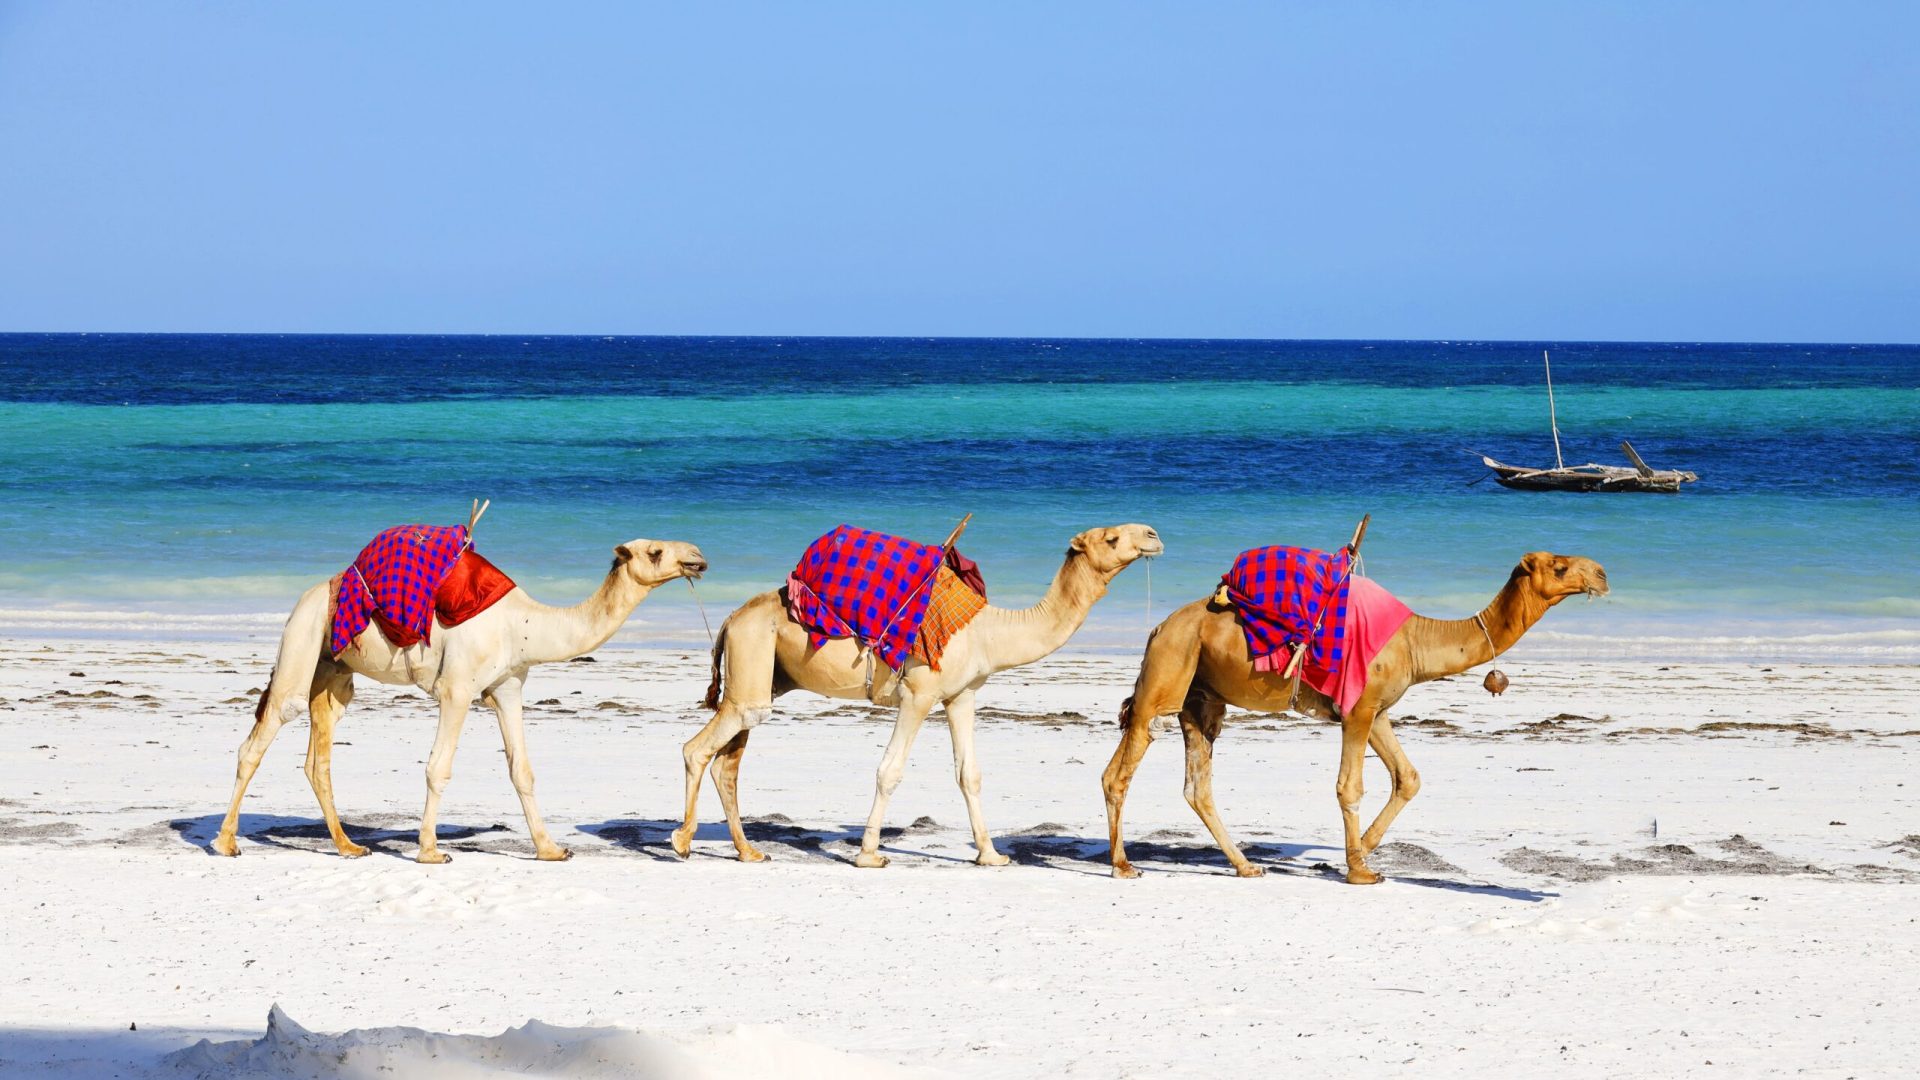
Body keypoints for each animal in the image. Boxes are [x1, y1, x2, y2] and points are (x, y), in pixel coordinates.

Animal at [212, 538, 708, 863]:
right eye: (655, 552)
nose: (698, 558)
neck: (523, 625)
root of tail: (311, 594)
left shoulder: (508, 687)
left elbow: (521, 770)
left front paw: (551, 849)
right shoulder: (457, 688)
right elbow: (438, 767)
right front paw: (430, 851)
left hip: (333, 670)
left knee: (318, 757)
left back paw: (349, 846)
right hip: (302, 638)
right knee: (264, 731)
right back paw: (226, 842)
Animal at [674, 523, 1162, 868]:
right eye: (1112, 536)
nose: (1153, 535)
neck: (988, 632)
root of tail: (732, 618)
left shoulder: (962, 695)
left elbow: (969, 774)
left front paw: (991, 855)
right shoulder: (919, 693)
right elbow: (889, 770)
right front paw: (869, 854)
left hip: (762, 675)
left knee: (728, 762)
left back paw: (748, 851)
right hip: (753, 657)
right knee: (698, 749)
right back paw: (681, 841)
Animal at [1101, 550, 1607, 884]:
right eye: (1560, 567)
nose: (1602, 574)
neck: (1416, 639)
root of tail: (1157, 628)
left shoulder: (1377, 709)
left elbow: (1408, 777)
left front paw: (1359, 850)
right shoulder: (1357, 710)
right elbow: (1349, 786)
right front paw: (1360, 870)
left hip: (1200, 697)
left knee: (1197, 785)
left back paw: (1246, 866)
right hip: (1166, 676)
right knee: (1120, 770)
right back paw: (1123, 865)